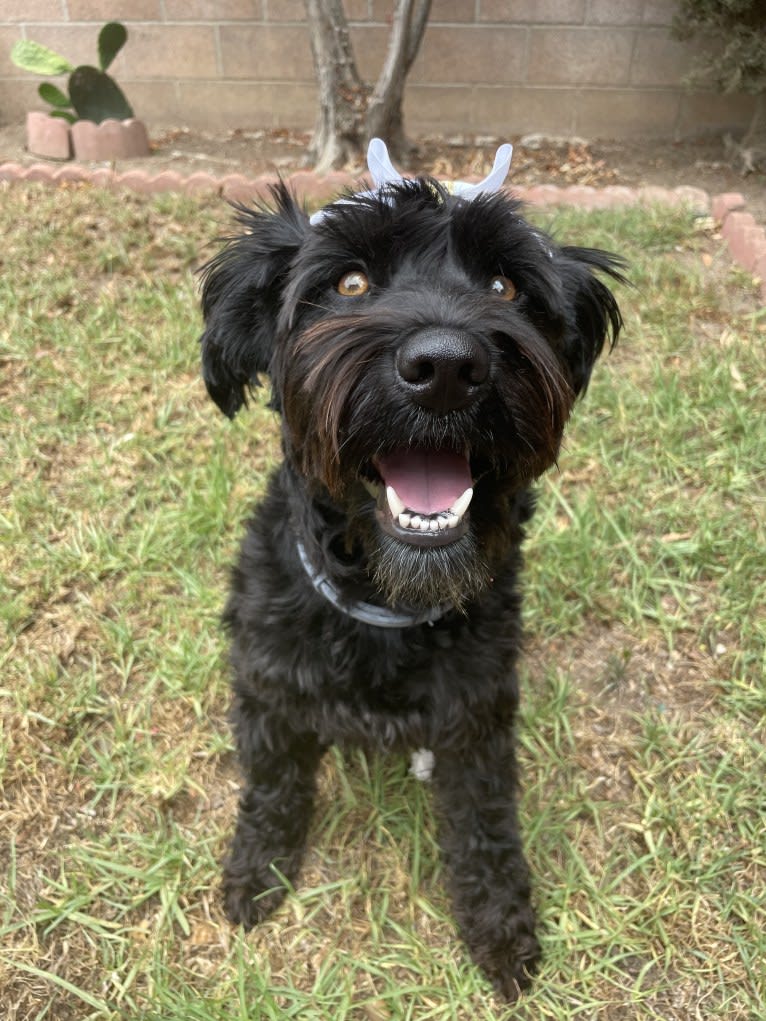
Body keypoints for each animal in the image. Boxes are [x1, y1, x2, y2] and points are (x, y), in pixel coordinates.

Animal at [198, 149, 625, 996]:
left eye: (505, 286)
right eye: (350, 282)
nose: (447, 367)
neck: (383, 603)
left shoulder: (478, 716)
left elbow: (485, 824)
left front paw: (500, 925)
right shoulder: (266, 690)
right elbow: (272, 786)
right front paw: (258, 870)